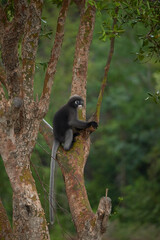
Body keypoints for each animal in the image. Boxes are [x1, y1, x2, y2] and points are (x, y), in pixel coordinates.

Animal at [49, 94, 97, 224]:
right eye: (77, 102)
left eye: (80, 101)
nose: (80, 104)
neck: (71, 105)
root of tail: (56, 136)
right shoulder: (72, 111)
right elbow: (72, 122)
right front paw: (90, 123)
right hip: (63, 136)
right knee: (70, 129)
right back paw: (68, 145)